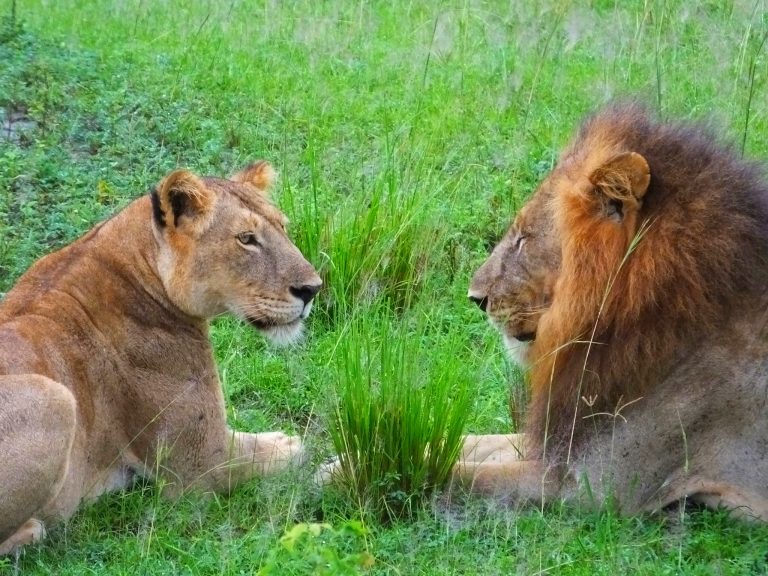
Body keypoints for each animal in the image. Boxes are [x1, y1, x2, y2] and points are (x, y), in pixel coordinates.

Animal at [0, 161, 322, 554]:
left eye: (283, 228)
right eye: (246, 239)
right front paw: (287, 442)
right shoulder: (201, 465)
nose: (312, 289)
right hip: (55, 397)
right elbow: (285, 453)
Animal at [457, 102, 768, 520]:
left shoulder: (594, 486)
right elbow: (466, 443)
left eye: (524, 238)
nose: (476, 297)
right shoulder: (565, 439)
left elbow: (459, 475)